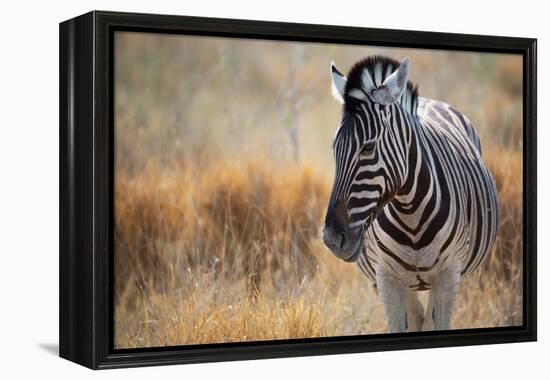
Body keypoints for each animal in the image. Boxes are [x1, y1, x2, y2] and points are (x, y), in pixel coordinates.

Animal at [324, 55, 500, 332]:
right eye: (334, 148)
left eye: (368, 147)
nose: (332, 238)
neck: (410, 213)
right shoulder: (386, 278)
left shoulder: (449, 275)